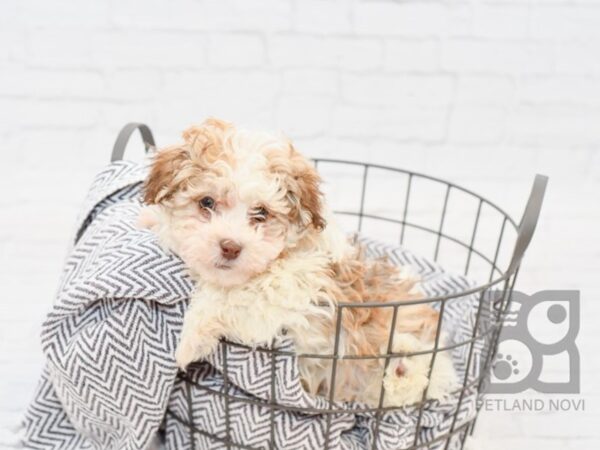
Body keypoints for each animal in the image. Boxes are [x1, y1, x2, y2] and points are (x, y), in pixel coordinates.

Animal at [138, 118, 454, 406]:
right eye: (206, 202)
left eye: (261, 213)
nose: (230, 247)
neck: (284, 252)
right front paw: (150, 219)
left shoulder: (294, 290)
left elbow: (234, 295)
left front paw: (191, 339)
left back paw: (403, 361)